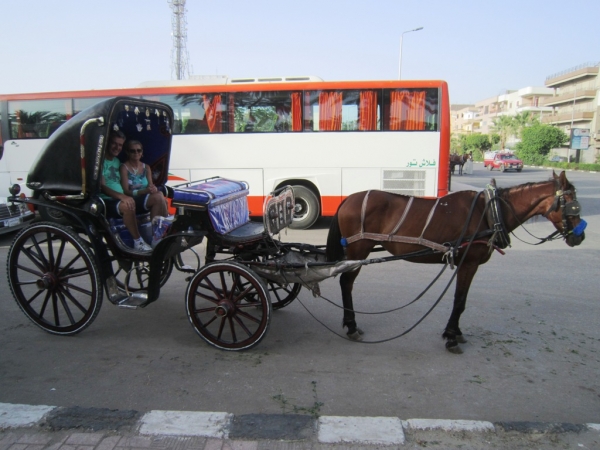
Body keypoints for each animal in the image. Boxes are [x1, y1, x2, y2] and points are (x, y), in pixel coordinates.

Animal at [328, 171, 584, 354]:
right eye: (571, 203)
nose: (579, 236)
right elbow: (459, 301)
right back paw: (351, 325)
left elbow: (462, 301)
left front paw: (456, 332)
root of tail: (348, 199)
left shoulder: (467, 264)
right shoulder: (469, 263)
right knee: (346, 282)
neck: (490, 213)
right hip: (359, 248)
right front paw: (451, 337)